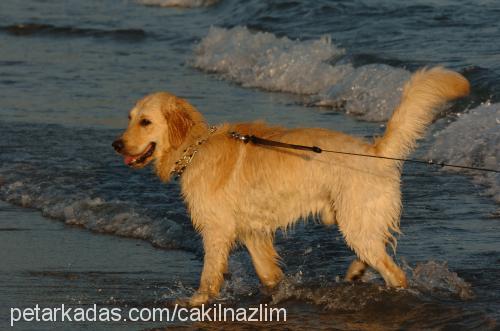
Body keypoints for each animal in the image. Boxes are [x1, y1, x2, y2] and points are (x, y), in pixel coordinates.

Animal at [112, 67, 468, 306]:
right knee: (375, 252)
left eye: (145, 122)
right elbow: (267, 272)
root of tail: (376, 151)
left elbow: (209, 274)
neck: (195, 147)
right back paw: (355, 272)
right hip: (357, 221)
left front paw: (196, 301)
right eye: (129, 118)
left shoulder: (216, 229)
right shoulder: (253, 231)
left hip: (356, 220)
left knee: (394, 272)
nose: (116, 144)